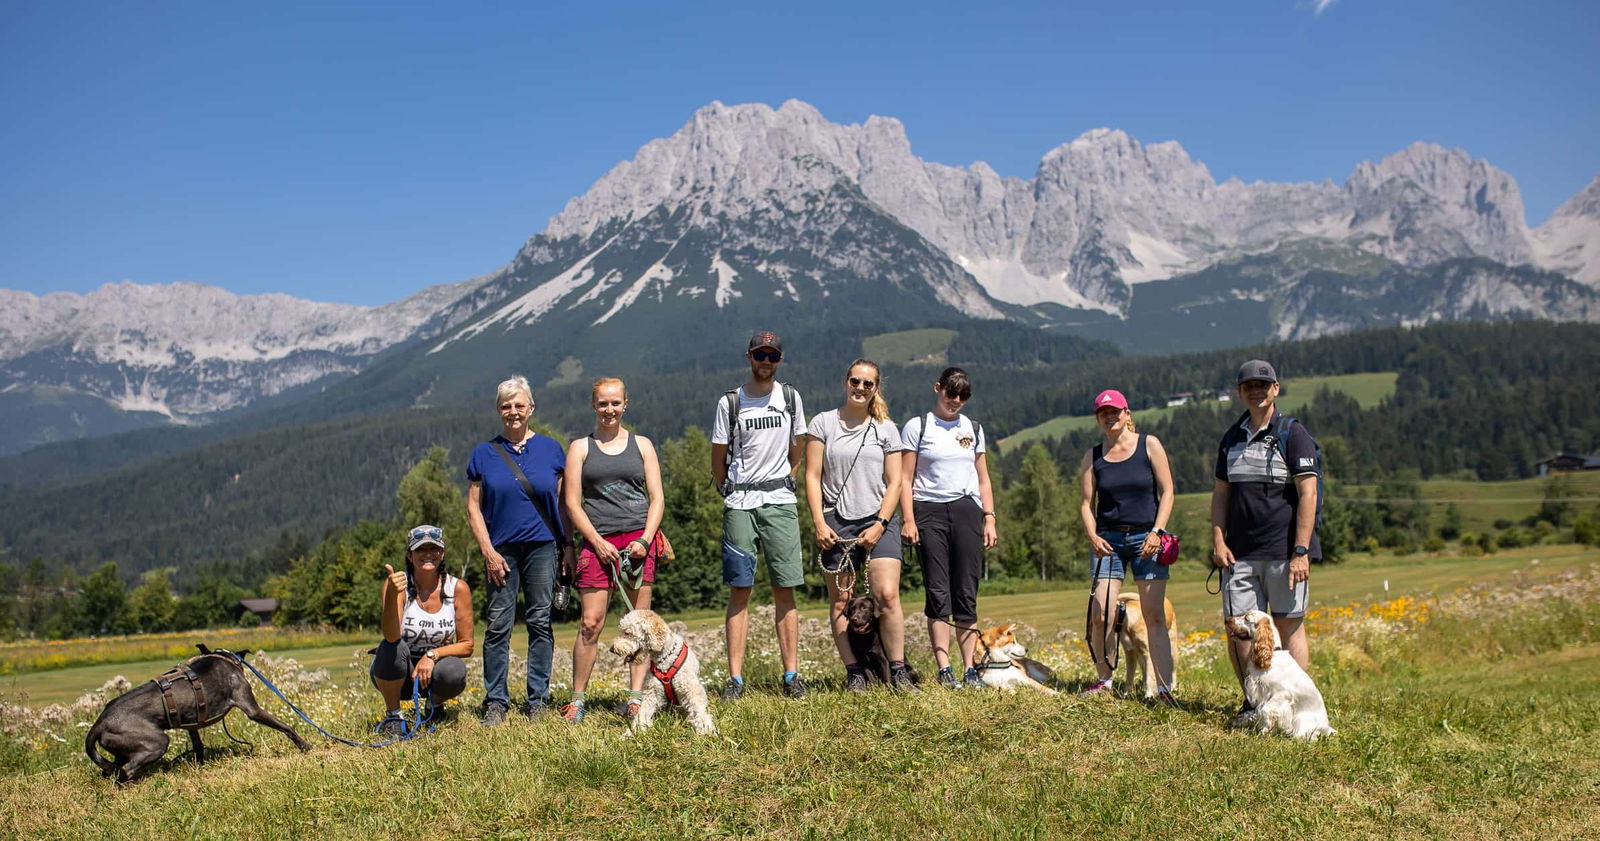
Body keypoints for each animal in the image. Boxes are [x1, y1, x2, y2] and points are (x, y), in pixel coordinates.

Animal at [85, 649, 312, 786]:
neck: (222, 659)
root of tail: (99, 723)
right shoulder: (251, 708)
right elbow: (286, 727)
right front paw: (304, 745)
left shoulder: (192, 722)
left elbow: (198, 745)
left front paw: (199, 767)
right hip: (156, 742)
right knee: (126, 771)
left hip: (120, 749)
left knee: (111, 770)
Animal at [1228, 610, 1331, 741]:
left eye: (1246, 618)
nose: (1227, 620)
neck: (1272, 655)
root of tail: (1328, 729)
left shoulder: (1281, 694)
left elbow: (1266, 710)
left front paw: (1264, 733)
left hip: (1302, 720)